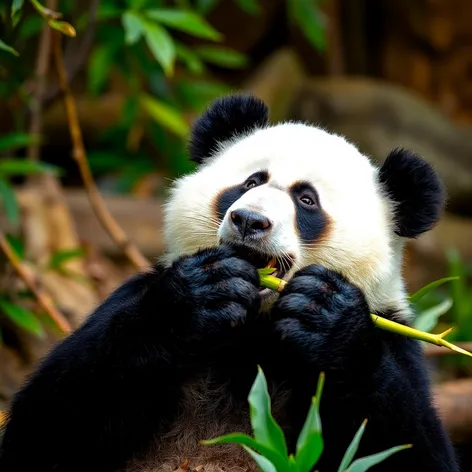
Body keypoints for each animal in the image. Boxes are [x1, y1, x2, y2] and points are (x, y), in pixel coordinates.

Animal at [0, 94, 460, 470]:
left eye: (306, 199)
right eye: (251, 182)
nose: (249, 220)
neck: (255, 328)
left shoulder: (391, 335)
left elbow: (404, 447)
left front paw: (325, 315)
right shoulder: (133, 299)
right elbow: (46, 422)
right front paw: (202, 294)